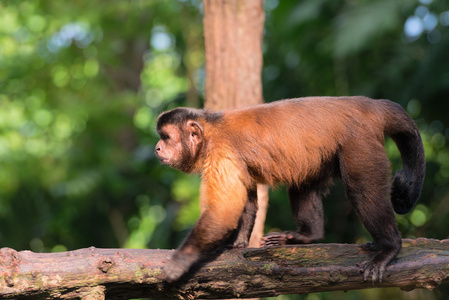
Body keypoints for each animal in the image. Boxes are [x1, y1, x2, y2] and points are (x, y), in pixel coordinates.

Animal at [156, 96, 426, 284]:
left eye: (166, 138)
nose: (158, 148)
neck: (209, 130)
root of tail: (370, 105)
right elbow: (246, 199)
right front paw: (238, 243)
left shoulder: (220, 152)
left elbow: (223, 209)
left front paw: (181, 260)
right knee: (302, 184)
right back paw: (308, 235)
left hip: (360, 141)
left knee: (362, 190)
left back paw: (389, 247)